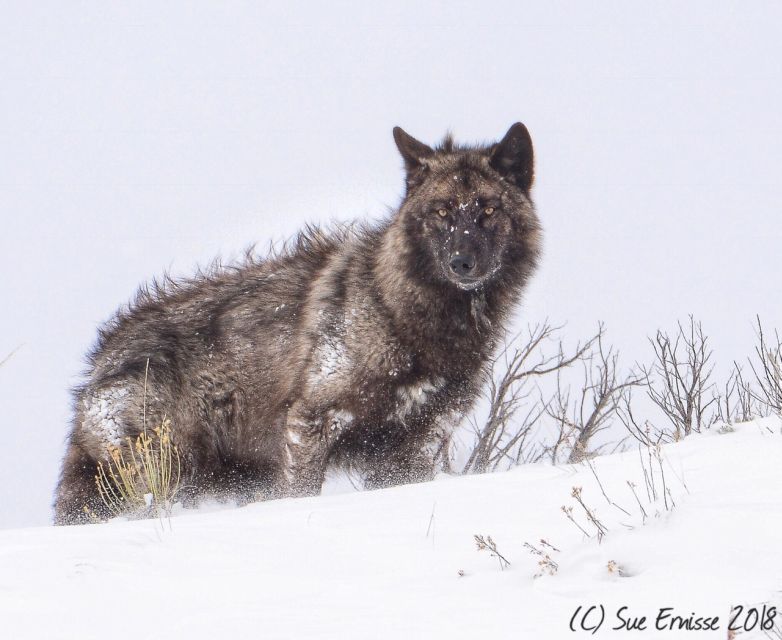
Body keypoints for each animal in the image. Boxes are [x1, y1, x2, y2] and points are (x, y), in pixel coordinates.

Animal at [55, 122, 544, 524]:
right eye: (442, 212)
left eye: (488, 210)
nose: (462, 262)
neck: (404, 317)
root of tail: (97, 365)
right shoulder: (311, 422)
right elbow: (302, 494)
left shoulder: (415, 446)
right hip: (166, 475)